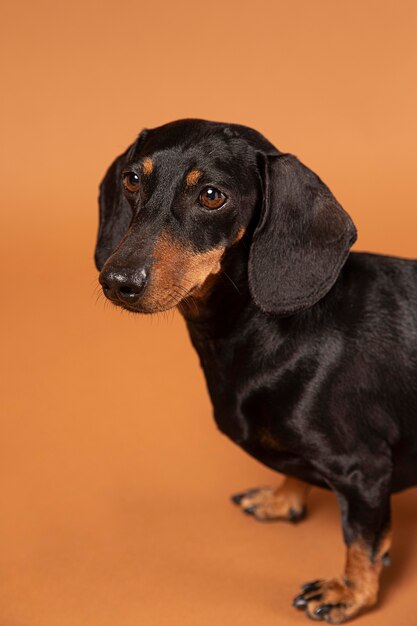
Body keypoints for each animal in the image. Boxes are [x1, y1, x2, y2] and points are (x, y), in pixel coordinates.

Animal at [95, 117, 416, 620]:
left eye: (211, 195)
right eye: (131, 179)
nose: (116, 281)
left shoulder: (364, 470)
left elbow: (361, 542)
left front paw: (349, 592)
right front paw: (283, 498)